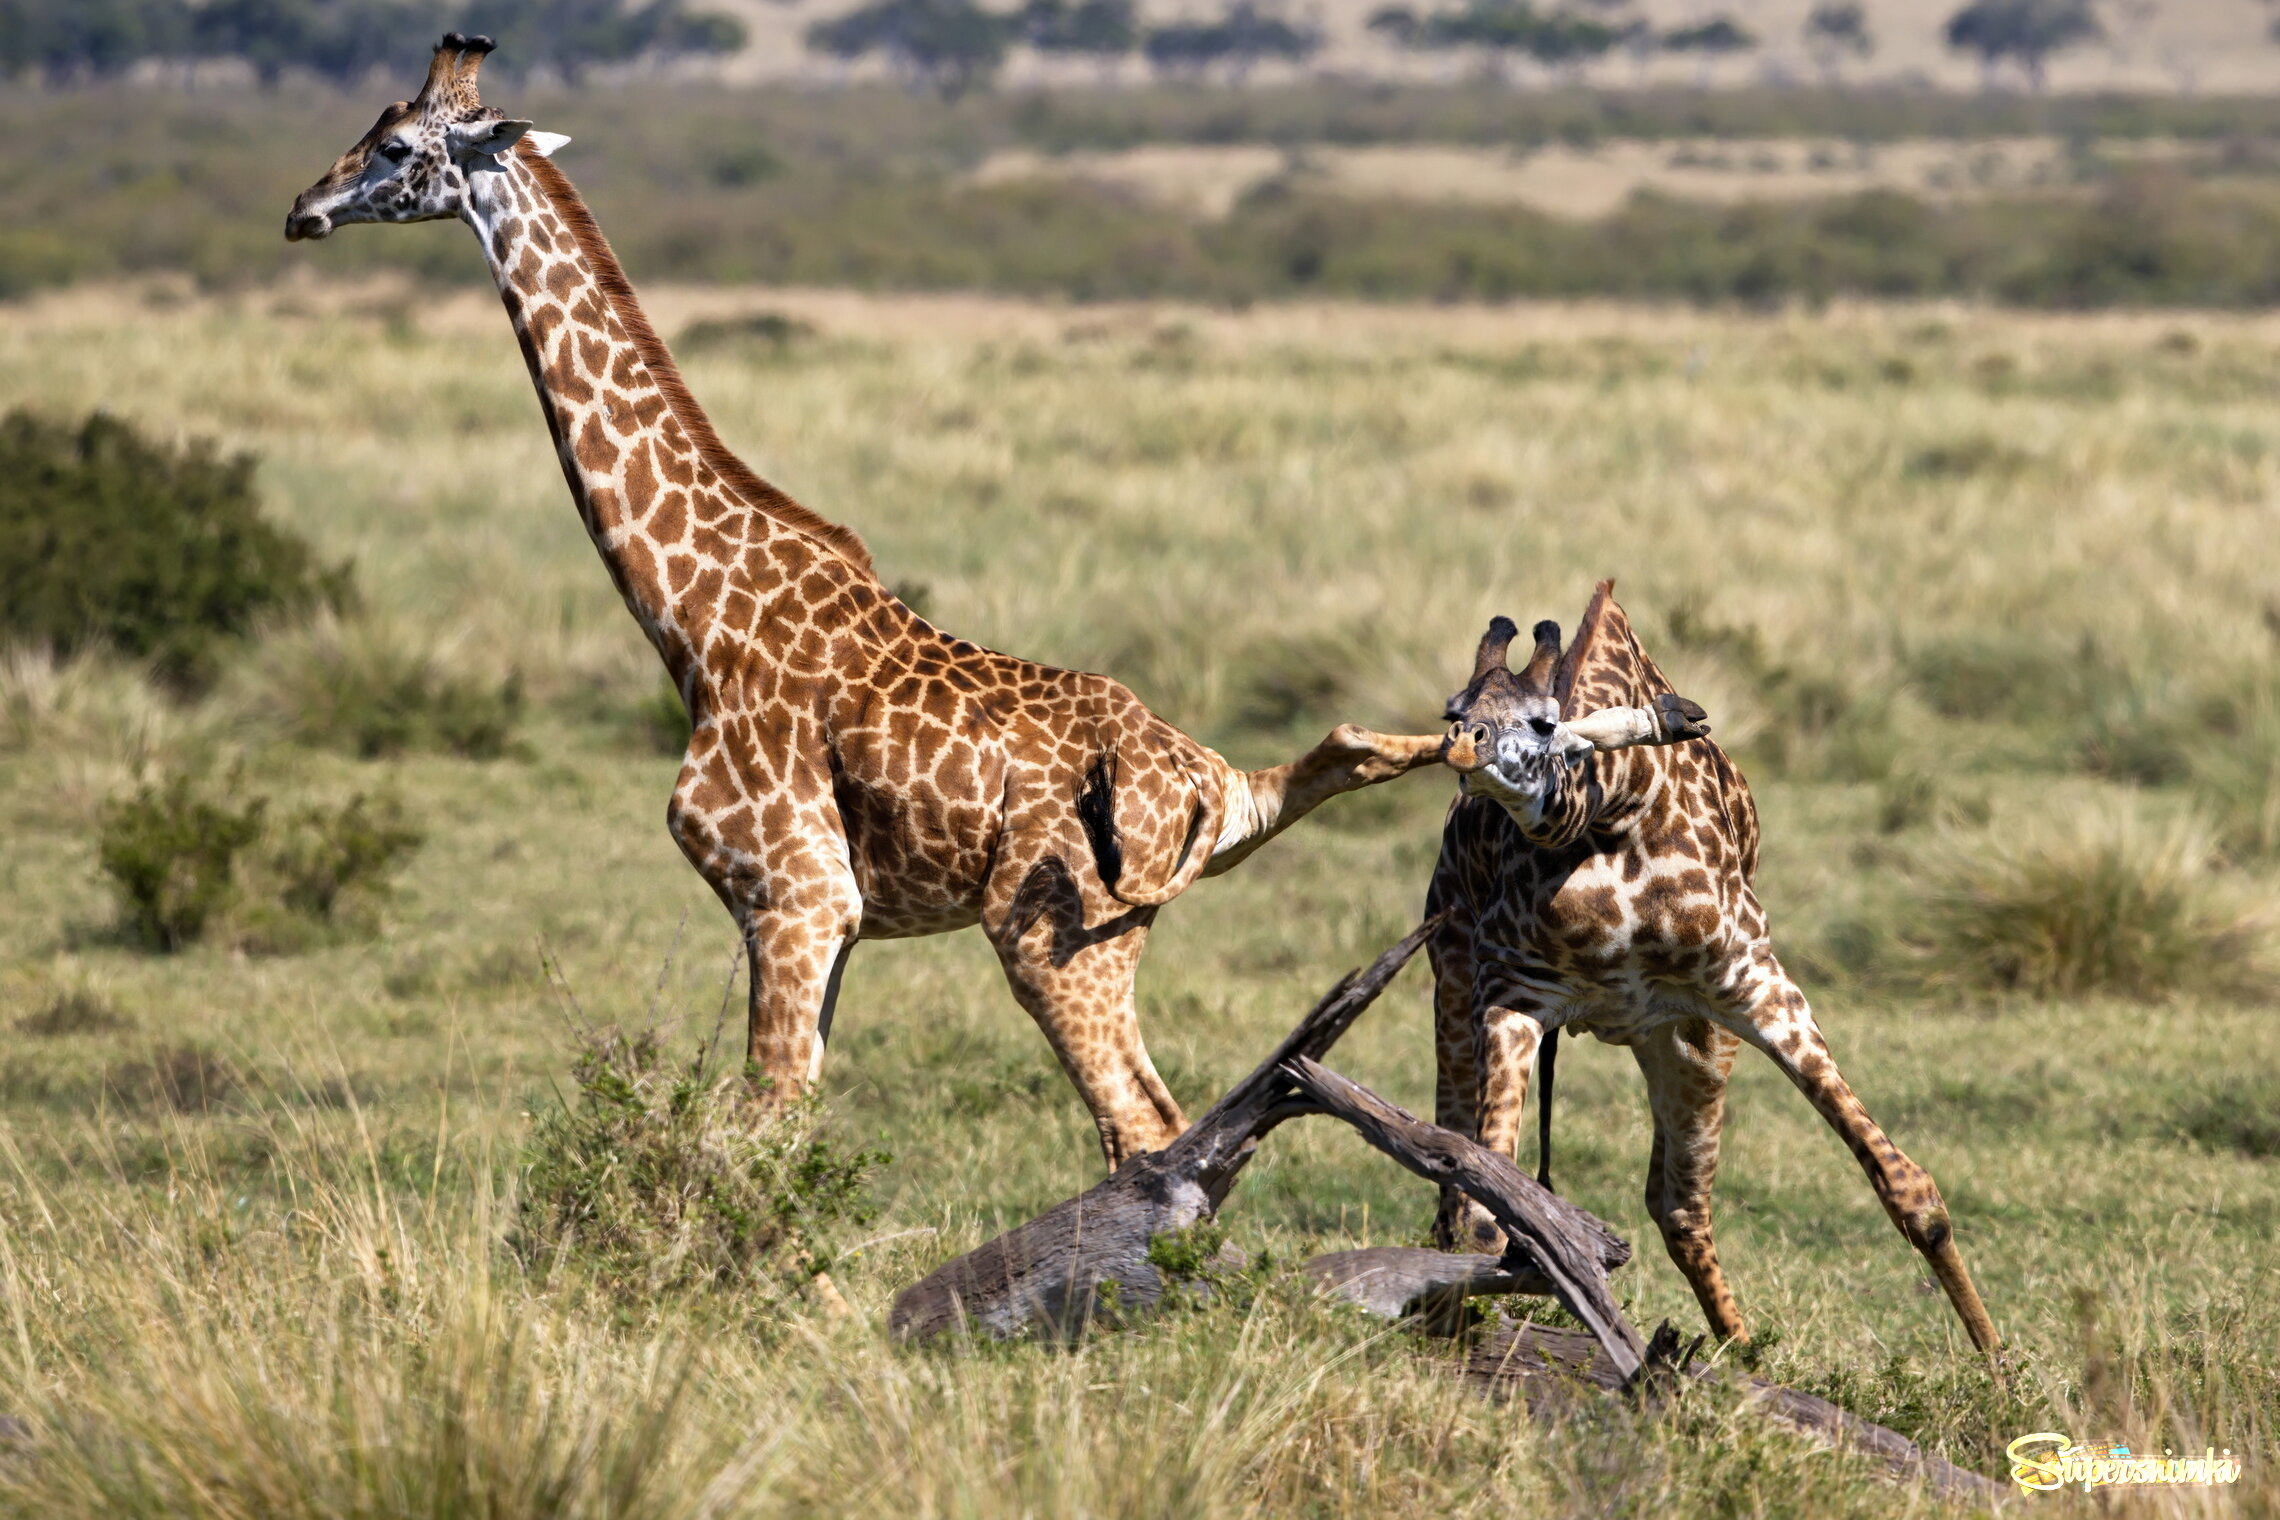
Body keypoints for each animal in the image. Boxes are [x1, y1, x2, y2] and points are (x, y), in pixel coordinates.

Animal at [285, 38, 1486, 1175]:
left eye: (394, 147)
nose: (302, 209)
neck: (692, 616)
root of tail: (1202, 780)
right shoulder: (836, 919)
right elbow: (790, 1122)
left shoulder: (794, 894)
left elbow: (763, 1121)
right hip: (1142, 899)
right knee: (1309, 816)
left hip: (1051, 935)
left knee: (1144, 1123)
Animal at [1431, 583, 2006, 1358]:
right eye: (1453, 710)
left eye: (1545, 721)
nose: (1466, 746)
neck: (1614, 816)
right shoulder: (1509, 995)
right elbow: (1487, 1210)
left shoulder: (1757, 984)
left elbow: (1909, 1187)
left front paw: (2001, 1365)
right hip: (1454, 987)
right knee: (1466, 1190)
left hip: (1690, 1038)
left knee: (1678, 1202)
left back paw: (1739, 1351)